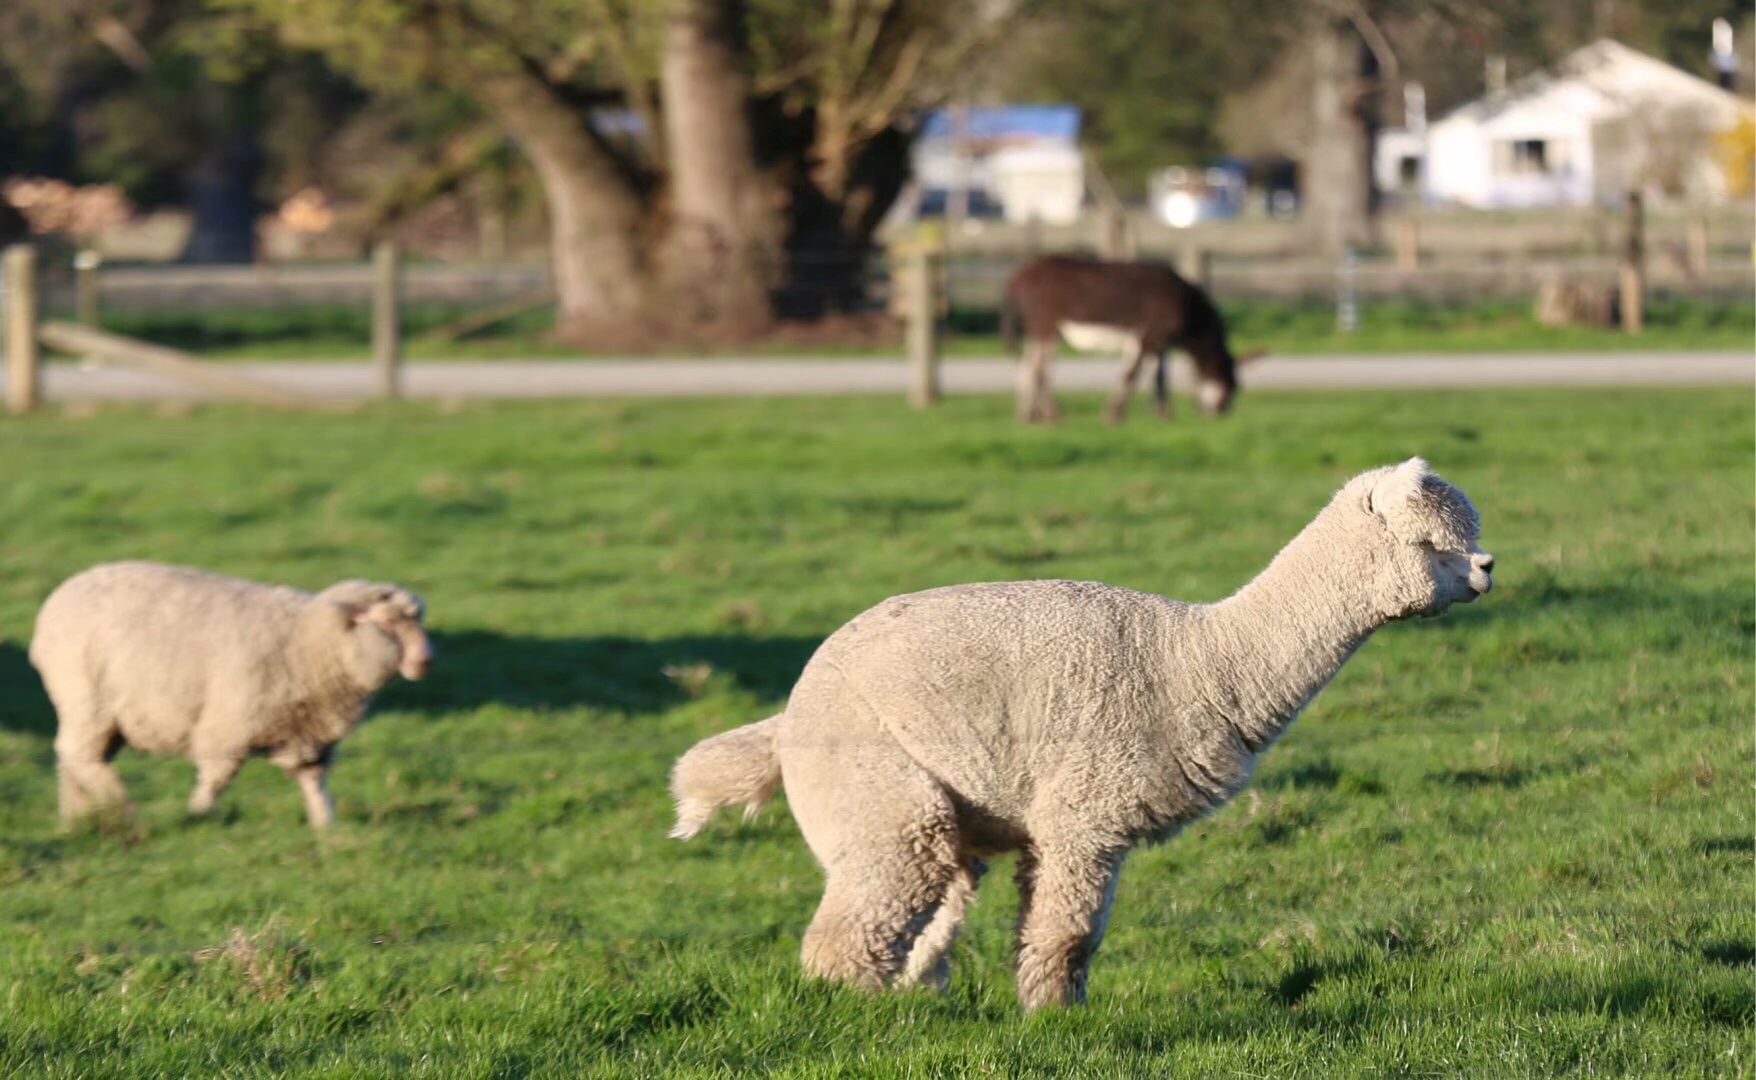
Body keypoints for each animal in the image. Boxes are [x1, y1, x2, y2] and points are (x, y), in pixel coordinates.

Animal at [30, 561, 431, 832]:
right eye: (388, 622)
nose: (426, 661)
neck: (309, 641)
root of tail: (56, 601)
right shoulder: (228, 725)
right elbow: (216, 779)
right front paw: (196, 814)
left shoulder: (308, 734)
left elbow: (314, 782)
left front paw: (325, 826)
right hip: (87, 701)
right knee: (80, 756)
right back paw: (121, 805)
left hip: (100, 715)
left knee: (76, 761)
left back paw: (77, 816)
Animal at [670, 460, 1496, 1011]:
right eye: (1430, 542)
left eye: (1469, 533)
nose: (1489, 568)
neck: (1199, 664)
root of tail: (789, 716)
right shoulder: (1086, 815)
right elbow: (1066, 932)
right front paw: (1052, 1017)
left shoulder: (1075, 826)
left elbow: (1066, 929)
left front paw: (1052, 1008)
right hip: (876, 786)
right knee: (851, 929)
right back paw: (852, 1015)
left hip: (939, 815)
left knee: (929, 911)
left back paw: (911, 1004)